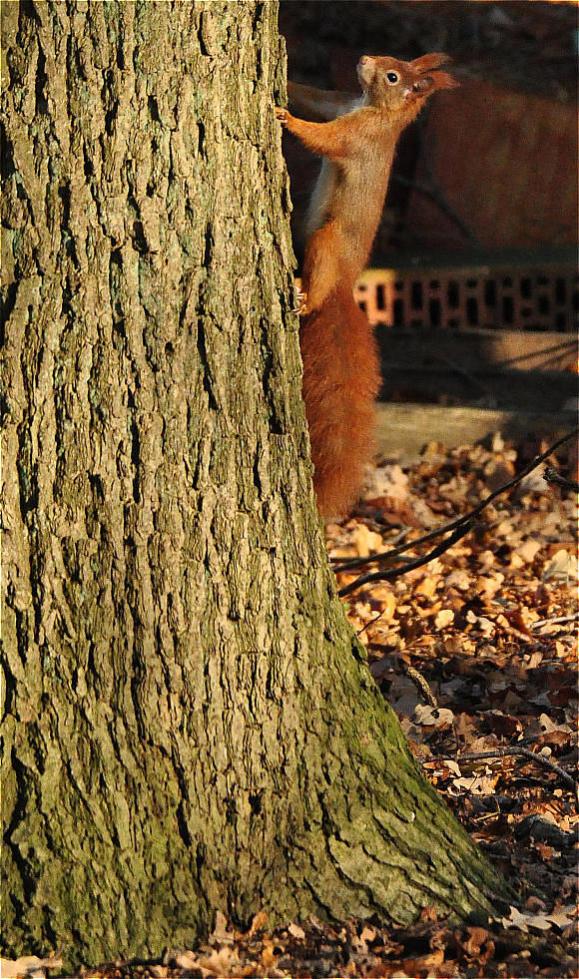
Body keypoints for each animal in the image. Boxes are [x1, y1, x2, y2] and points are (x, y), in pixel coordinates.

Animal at [276, 54, 457, 517]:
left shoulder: (355, 136)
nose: (364, 59)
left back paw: (306, 300)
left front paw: (285, 117)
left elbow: (323, 139)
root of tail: (345, 285)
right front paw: (287, 81)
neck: (374, 109)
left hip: (328, 241)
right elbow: (313, 95)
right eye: (395, 62)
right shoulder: (339, 103)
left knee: (319, 279)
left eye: (392, 76)